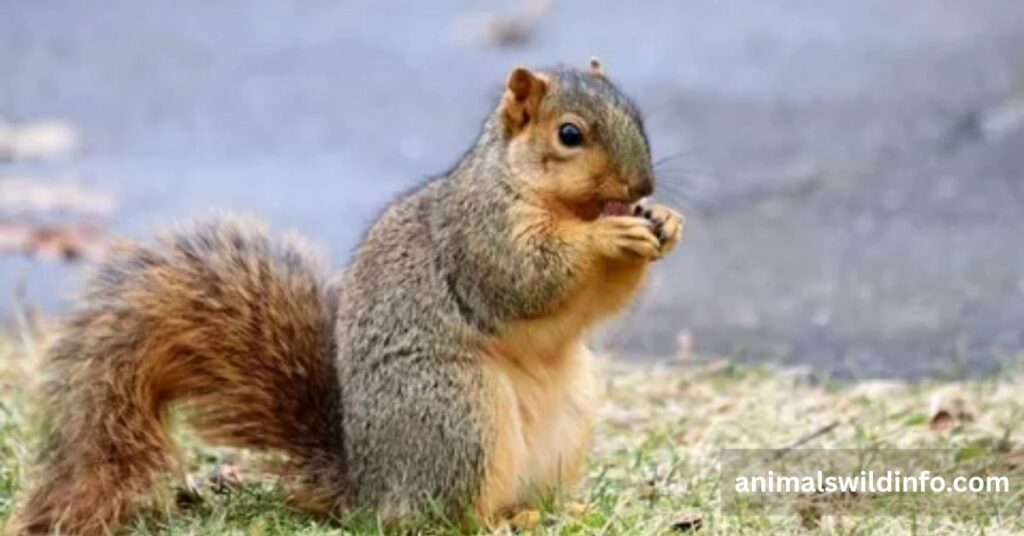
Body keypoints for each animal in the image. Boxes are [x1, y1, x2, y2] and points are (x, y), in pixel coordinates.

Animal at [8, 58, 683, 535]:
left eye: (637, 115)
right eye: (570, 134)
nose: (641, 185)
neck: (550, 198)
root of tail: (368, 486)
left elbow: (593, 306)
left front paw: (665, 222)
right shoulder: (479, 235)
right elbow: (527, 279)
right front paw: (608, 236)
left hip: (570, 413)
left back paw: (553, 514)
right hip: (456, 411)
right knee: (436, 516)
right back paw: (496, 521)